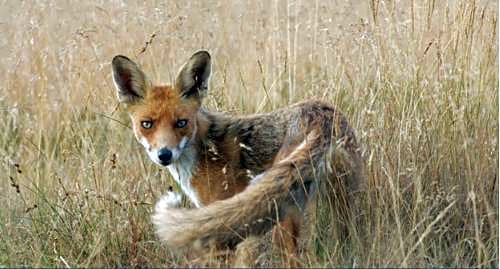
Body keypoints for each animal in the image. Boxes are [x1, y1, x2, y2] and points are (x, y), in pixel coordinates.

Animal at [112, 50, 364, 266]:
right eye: (147, 124)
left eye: (181, 123)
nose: (164, 154)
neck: (204, 150)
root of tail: (322, 116)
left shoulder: (221, 227)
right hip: (341, 209)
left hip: (282, 222)